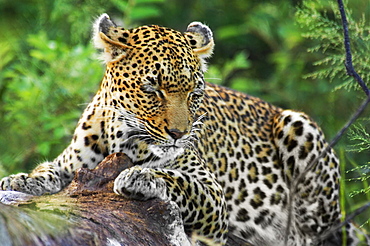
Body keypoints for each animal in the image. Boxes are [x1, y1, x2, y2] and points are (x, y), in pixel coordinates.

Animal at [0, 13, 364, 246]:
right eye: (152, 90)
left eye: (194, 93)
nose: (179, 134)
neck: (122, 139)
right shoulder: (74, 162)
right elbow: (52, 170)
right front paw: (22, 179)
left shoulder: (213, 194)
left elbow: (179, 181)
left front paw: (140, 177)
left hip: (300, 129)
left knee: (314, 233)